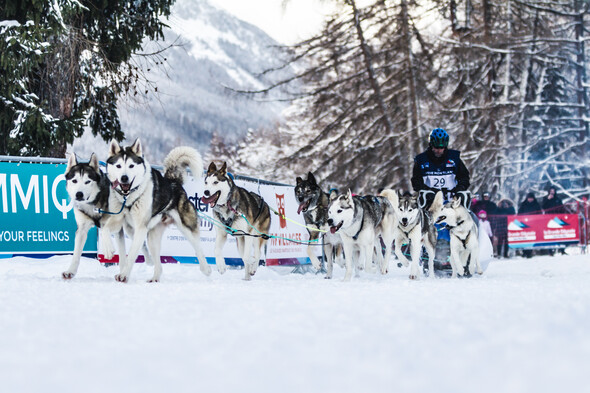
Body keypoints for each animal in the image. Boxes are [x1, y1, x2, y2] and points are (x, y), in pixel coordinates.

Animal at [107, 139, 213, 280]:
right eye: (118, 166)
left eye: (131, 166)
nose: (124, 178)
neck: (128, 198)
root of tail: (173, 181)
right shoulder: (122, 226)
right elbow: (121, 250)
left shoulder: (140, 227)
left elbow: (131, 255)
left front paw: (124, 275)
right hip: (151, 237)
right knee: (159, 264)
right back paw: (154, 278)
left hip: (186, 228)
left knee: (198, 247)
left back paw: (206, 269)